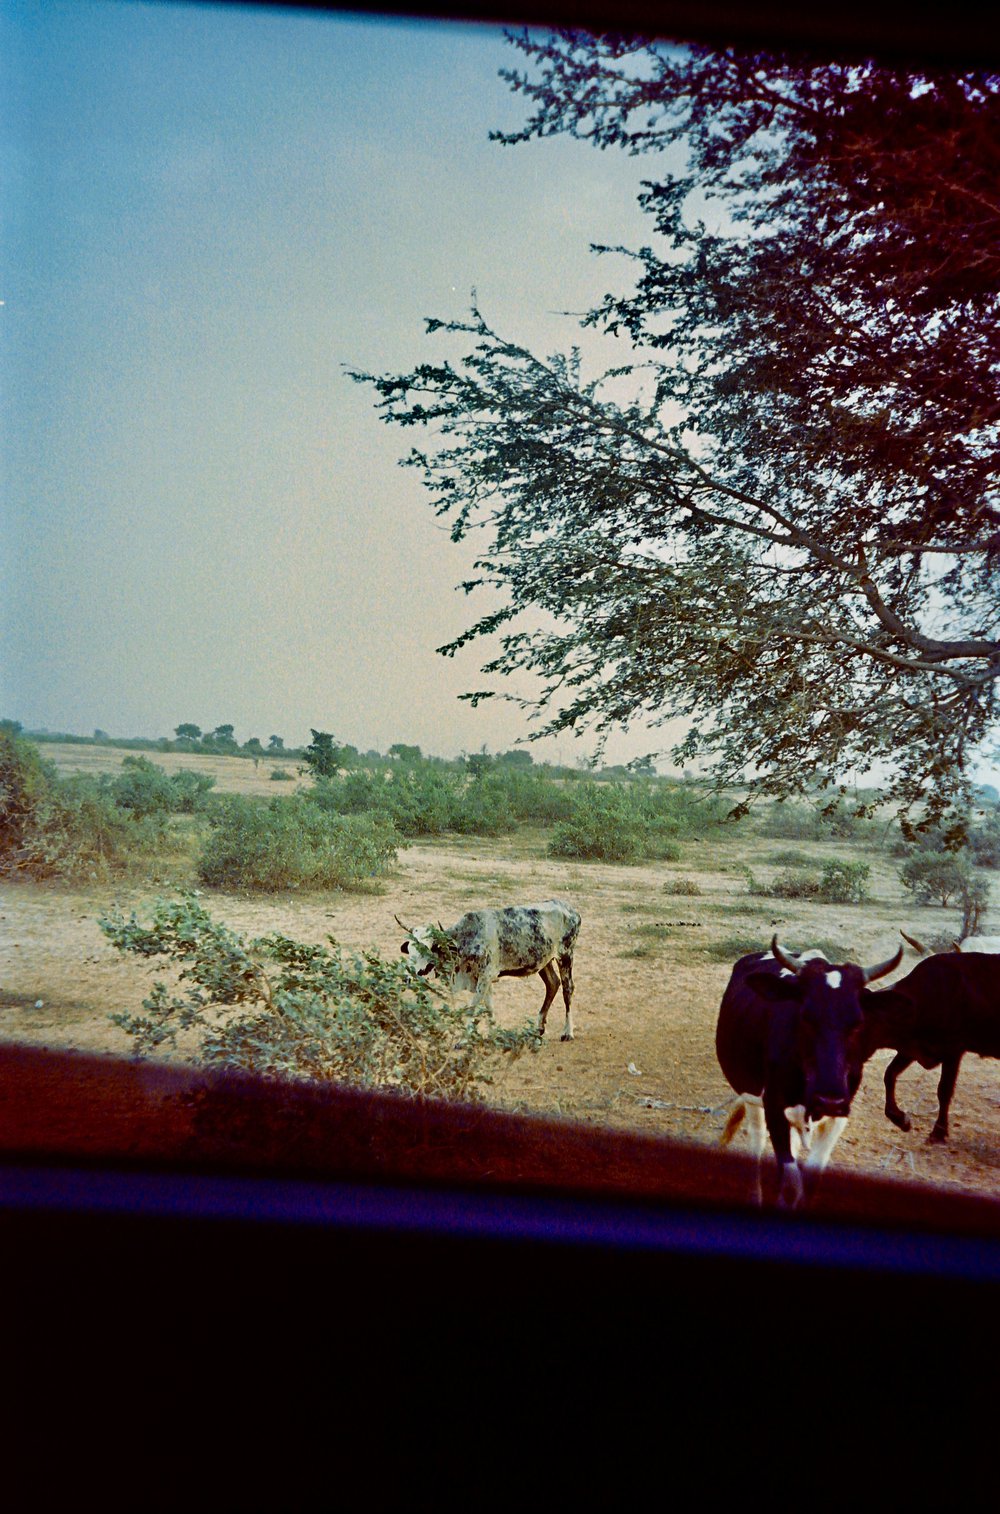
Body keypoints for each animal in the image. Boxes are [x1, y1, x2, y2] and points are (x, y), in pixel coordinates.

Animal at [393, 896, 577, 1041]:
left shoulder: (486, 977)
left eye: (429, 950)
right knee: (552, 984)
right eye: (410, 950)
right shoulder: (484, 979)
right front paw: (493, 1033)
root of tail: (570, 909)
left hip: (565, 956)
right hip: (544, 962)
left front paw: (463, 1040)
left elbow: (472, 1007)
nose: (408, 976)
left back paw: (567, 1032)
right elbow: (489, 1007)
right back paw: (538, 1028)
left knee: (567, 989)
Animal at [714, 932, 901, 1205]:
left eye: (858, 1022)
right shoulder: (774, 1108)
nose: (829, 1100)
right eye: (806, 1016)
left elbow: (810, 1182)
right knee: (756, 1142)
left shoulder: (839, 1116)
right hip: (751, 1095)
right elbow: (791, 1182)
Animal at [859, 950, 998, 1138]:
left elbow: (944, 1090)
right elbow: (889, 1074)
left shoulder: (953, 1050)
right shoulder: (910, 1048)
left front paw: (939, 1131)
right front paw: (900, 1119)